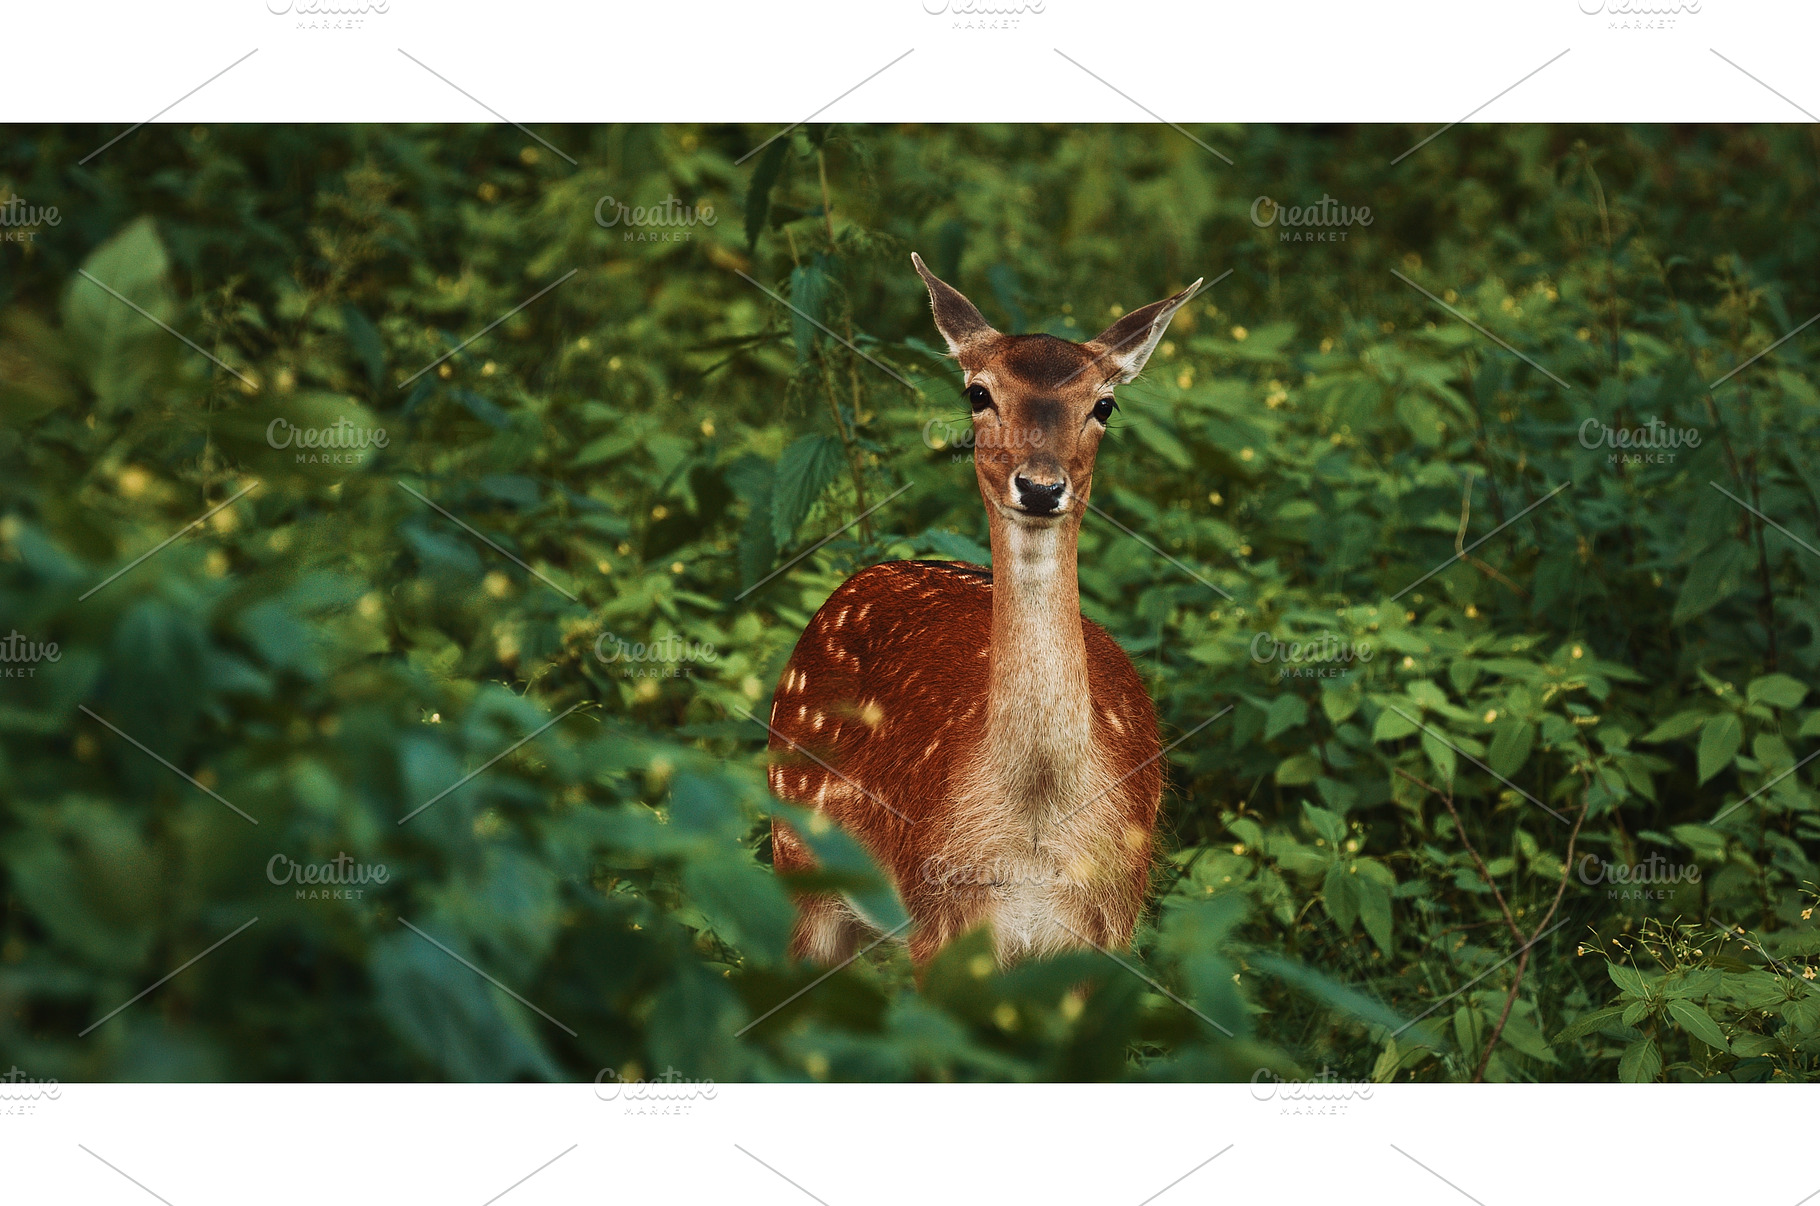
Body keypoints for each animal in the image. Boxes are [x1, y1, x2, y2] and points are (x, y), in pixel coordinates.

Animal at [766, 253, 1202, 969]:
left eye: (1104, 403)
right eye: (978, 392)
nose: (1041, 486)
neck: (1034, 833)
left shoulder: (1107, 923)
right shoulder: (940, 917)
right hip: (794, 850)